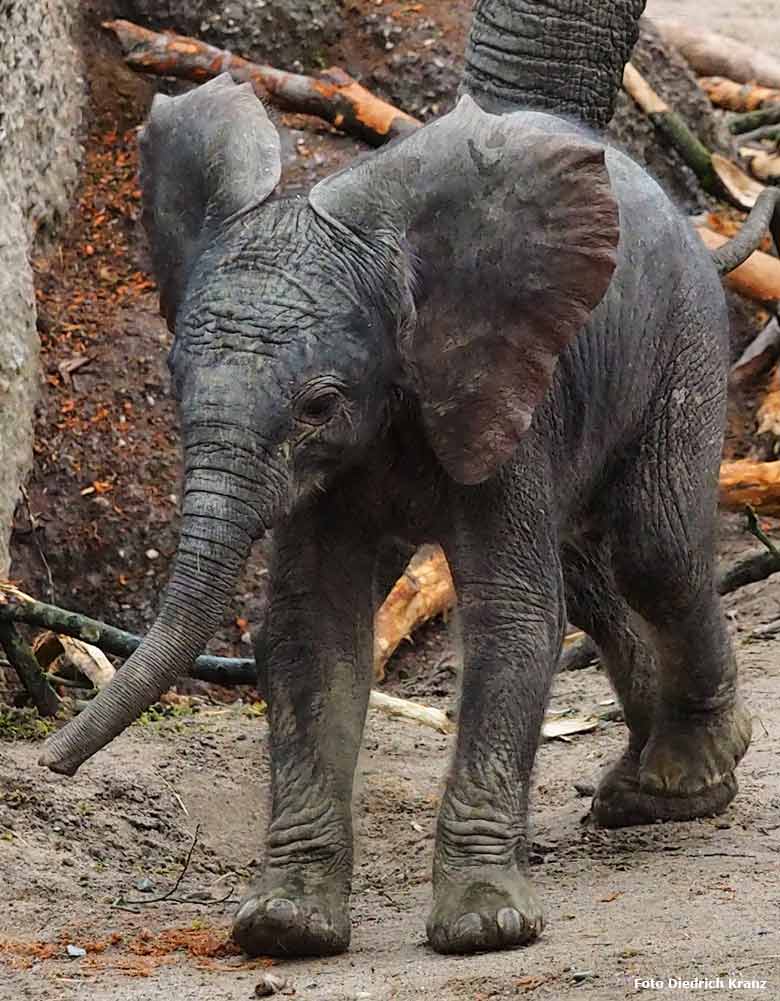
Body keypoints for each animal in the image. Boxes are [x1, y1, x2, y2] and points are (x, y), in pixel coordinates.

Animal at [39, 76, 752, 952]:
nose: (51, 762)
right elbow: (313, 625)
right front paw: (286, 926)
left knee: (653, 551)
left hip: (684, 334)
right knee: (593, 574)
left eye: (318, 405)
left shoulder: (499, 383)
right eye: (173, 381)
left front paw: (485, 926)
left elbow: (512, 614)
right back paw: (637, 790)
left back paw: (690, 779)